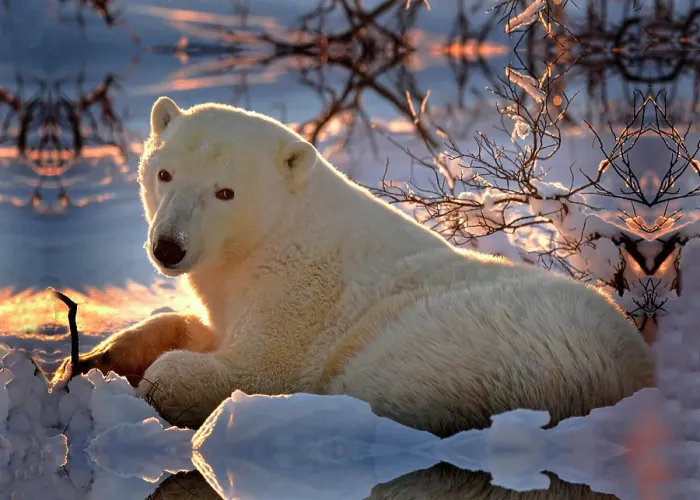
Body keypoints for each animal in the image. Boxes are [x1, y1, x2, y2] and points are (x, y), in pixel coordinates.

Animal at [53, 97, 655, 436]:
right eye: (165, 174)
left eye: (225, 192)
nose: (169, 248)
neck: (275, 237)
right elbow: (193, 326)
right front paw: (92, 359)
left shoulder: (299, 298)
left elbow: (255, 369)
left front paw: (153, 380)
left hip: (473, 344)